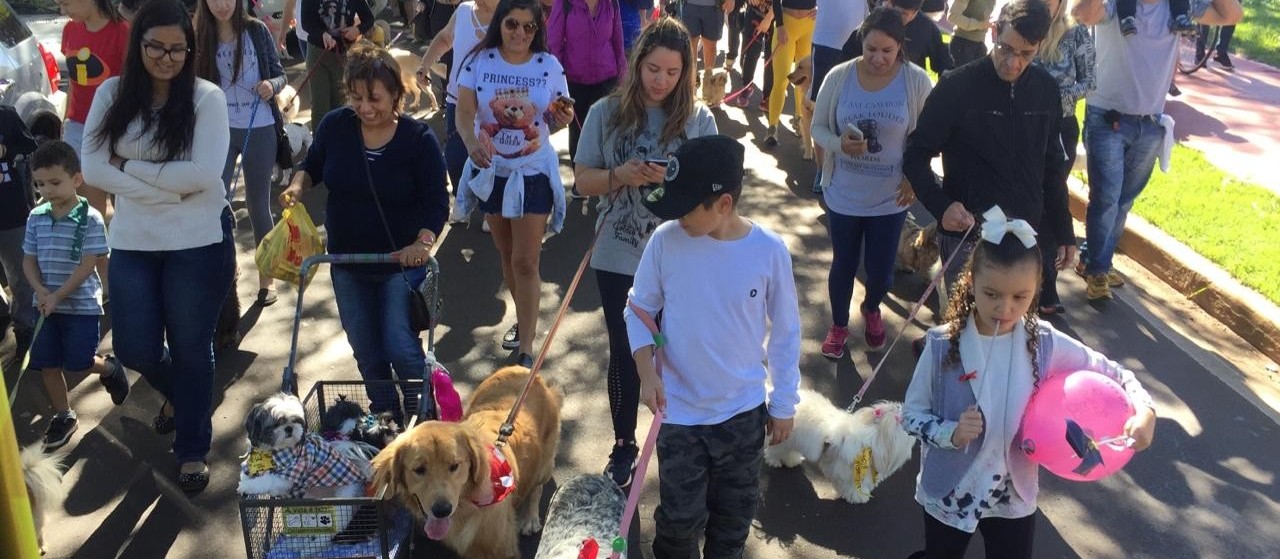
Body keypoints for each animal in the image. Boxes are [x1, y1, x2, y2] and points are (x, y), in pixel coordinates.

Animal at [762, 388, 916, 501]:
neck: (874, 439)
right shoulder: (847, 472)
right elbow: (851, 486)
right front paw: (858, 496)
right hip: (783, 437)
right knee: (774, 449)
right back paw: (776, 460)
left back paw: (792, 460)